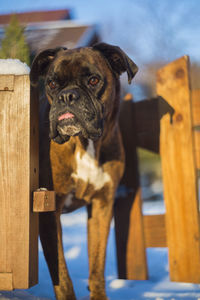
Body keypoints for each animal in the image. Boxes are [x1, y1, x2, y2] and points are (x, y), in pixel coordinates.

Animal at [30, 42, 138, 300]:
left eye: (93, 80)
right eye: (52, 84)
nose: (67, 95)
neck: (84, 143)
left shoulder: (101, 205)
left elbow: (97, 265)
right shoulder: (49, 212)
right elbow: (61, 274)